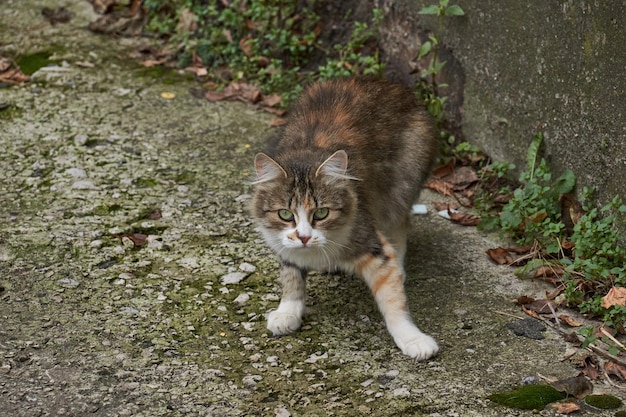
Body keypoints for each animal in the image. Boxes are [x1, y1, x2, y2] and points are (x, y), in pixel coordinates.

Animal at [250, 79, 438, 360]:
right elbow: (291, 278)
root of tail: (395, 85)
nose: (304, 237)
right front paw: (288, 312)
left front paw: (412, 339)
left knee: (400, 223)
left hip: (401, 184)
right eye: (285, 214)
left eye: (321, 213)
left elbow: (394, 304)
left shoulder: (371, 242)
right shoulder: (285, 246)